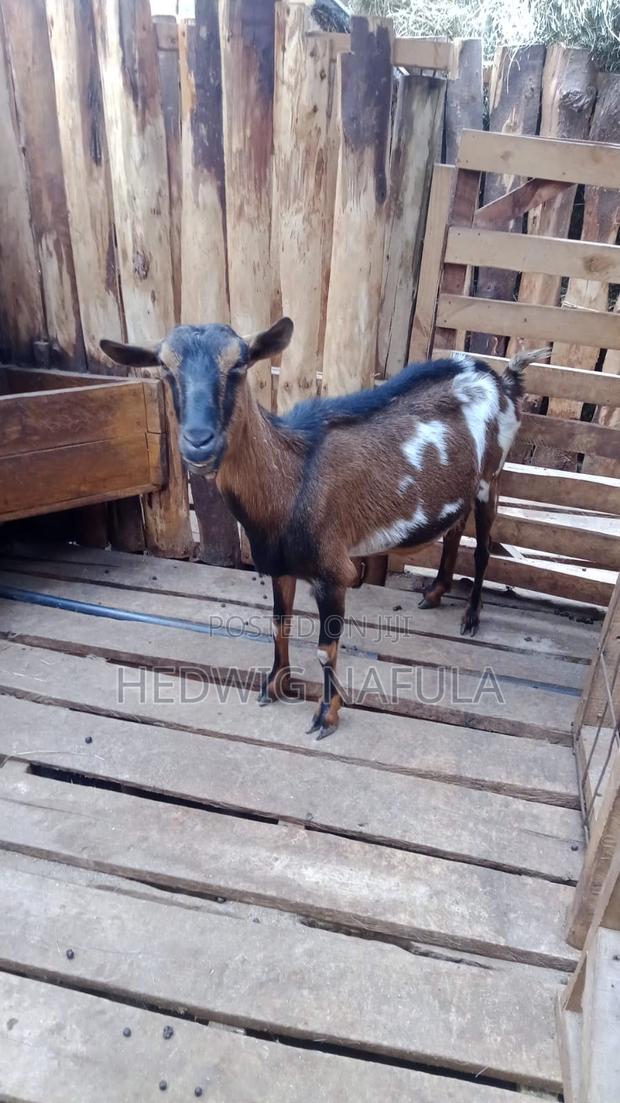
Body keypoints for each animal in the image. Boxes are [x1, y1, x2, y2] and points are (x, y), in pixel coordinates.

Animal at [101, 321, 546, 740]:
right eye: (165, 368)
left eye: (239, 365)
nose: (198, 443)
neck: (292, 482)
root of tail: (500, 378)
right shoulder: (279, 565)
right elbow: (278, 625)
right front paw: (274, 685)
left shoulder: (333, 573)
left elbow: (324, 650)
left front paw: (326, 716)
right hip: (461, 487)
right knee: (454, 530)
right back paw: (435, 593)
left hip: (492, 476)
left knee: (484, 546)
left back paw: (471, 617)